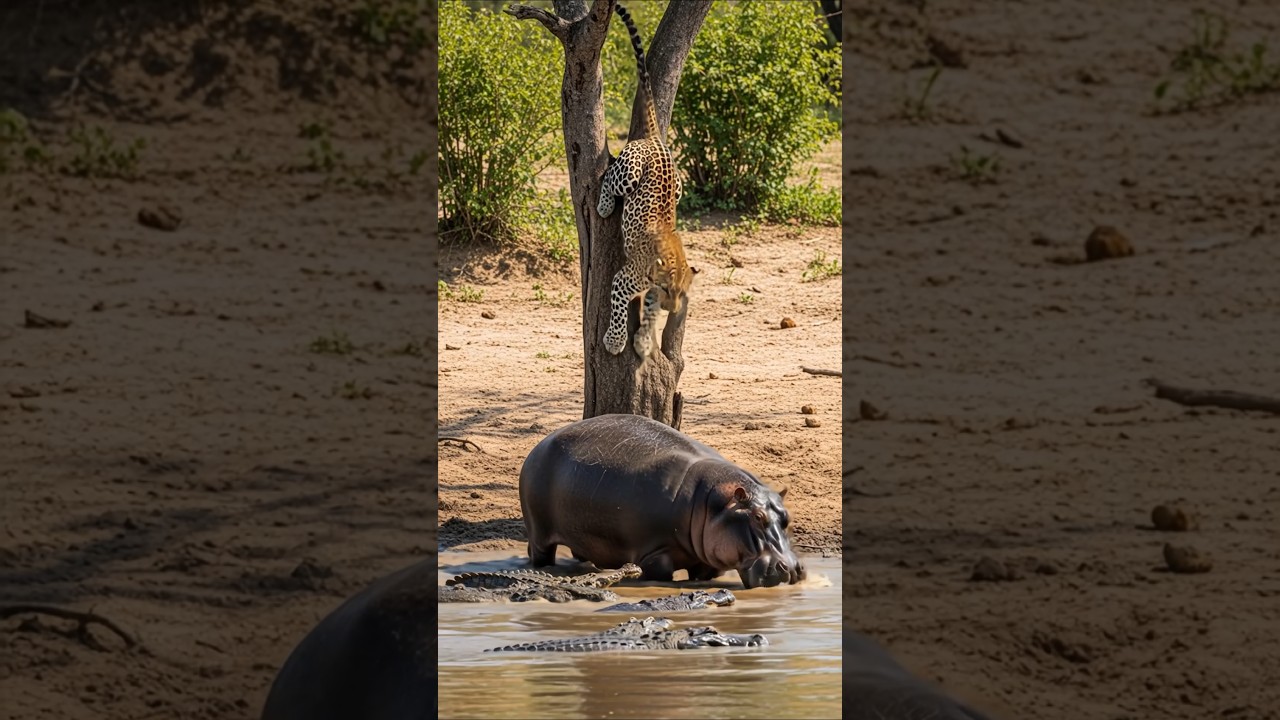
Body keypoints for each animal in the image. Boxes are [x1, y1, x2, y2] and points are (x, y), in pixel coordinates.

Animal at [519, 413, 805, 588]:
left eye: (787, 517)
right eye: (757, 517)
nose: (792, 567)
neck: (711, 502)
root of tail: (540, 444)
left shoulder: (706, 561)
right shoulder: (655, 553)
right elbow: (661, 571)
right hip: (540, 533)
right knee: (540, 554)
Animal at [597, 3, 698, 358]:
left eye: (682, 291)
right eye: (667, 287)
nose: (674, 308)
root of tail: (655, 139)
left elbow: (649, 316)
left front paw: (642, 340)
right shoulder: (621, 280)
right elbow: (617, 309)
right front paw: (615, 341)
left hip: (680, 186)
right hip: (630, 170)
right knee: (609, 177)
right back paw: (603, 206)